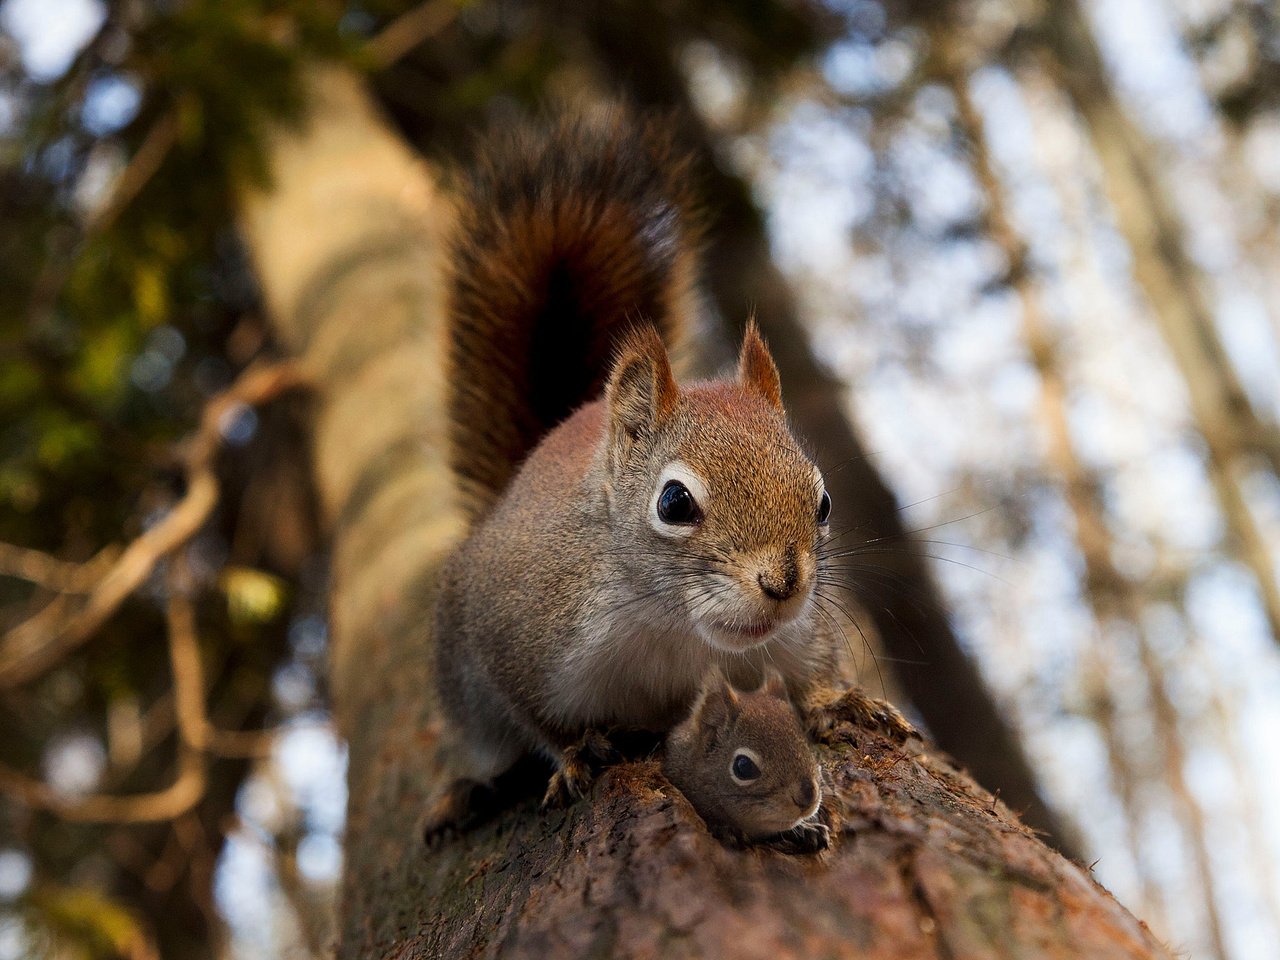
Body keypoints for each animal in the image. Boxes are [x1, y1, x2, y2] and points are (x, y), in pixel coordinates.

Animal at [424, 112, 916, 834]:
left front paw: (839, 699)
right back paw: (465, 790)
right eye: (674, 503)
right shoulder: (516, 635)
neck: (674, 625)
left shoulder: (797, 637)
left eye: (822, 501)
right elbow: (536, 717)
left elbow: (811, 674)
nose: (784, 586)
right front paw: (574, 754)